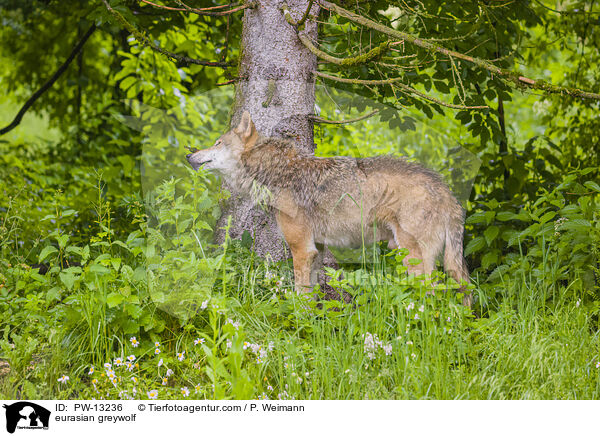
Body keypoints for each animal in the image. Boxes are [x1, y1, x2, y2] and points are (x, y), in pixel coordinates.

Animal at [185, 110, 472, 304]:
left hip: (414, 260)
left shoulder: (302, 249)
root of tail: (447, 191)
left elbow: (300, 294)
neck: (276, 171)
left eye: (217, 142)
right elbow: (311, 295)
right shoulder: (317, 249)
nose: (189, 155)